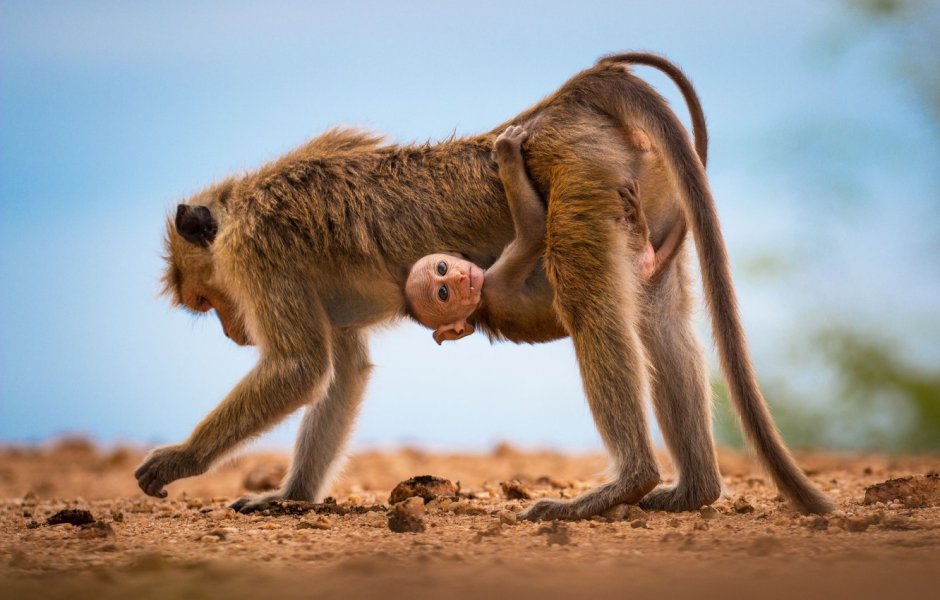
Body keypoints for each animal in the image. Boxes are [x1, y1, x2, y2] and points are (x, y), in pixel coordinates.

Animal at [404, 125, 656, 345]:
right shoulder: (495, 284)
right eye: (443, 293)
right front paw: (507, 153)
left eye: (442, 267)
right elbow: (534, 230)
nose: (460, 278)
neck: (478, 308)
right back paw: (637, 223)